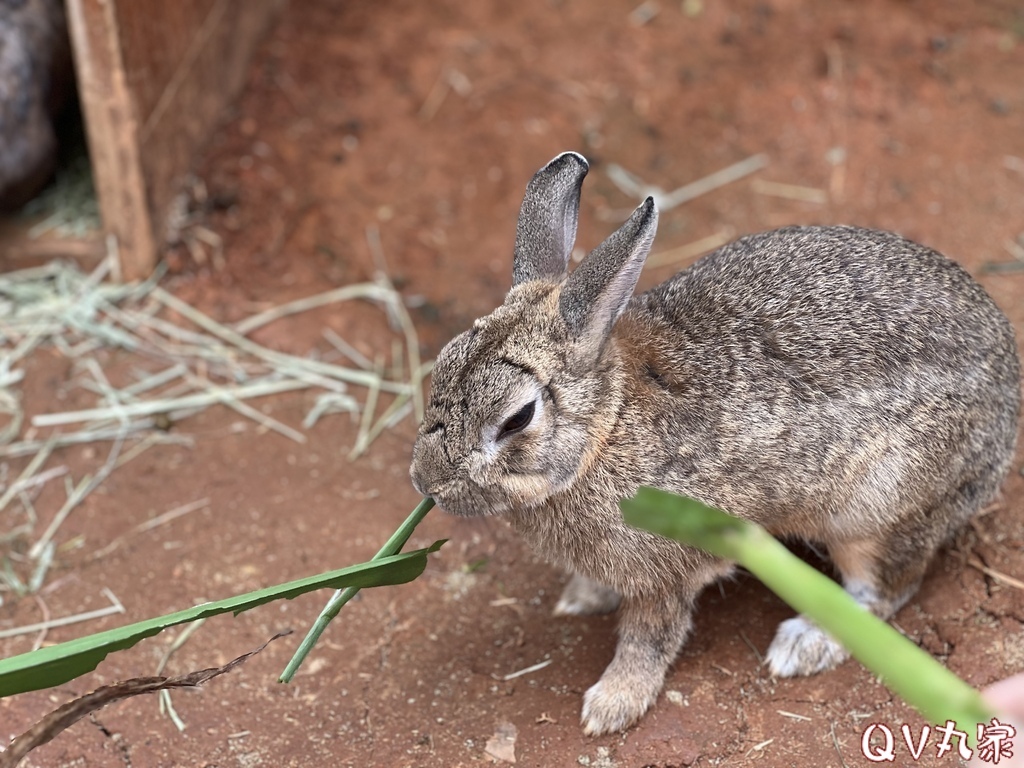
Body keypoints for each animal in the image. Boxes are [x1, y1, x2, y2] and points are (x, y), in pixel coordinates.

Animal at [407, 151, 1015, 741]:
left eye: (517, 419)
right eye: (443, 363)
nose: (425, 481)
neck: (607, 430)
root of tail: (1009, 405)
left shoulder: (666, 570)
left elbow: (650, 638)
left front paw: (611, 706)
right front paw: (583, 597)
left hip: (875, 507)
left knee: (885, 590)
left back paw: (802, 644)